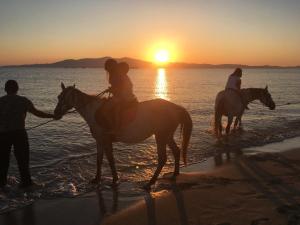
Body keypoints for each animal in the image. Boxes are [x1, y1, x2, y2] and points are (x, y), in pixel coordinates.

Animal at [53, 83, 192, 189]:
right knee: (176, 151)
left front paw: (115, 180)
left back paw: (150, 183)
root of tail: (176, 108)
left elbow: (110, 159)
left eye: (64, 98)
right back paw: (174, 174)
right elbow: (99, 160)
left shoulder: (106, 140)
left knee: (163, 159)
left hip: (161, 136)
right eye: (59, 97)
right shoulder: (99, 141)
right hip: (167, 136)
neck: (94, 112)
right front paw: (96, 179)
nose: (55, 114)